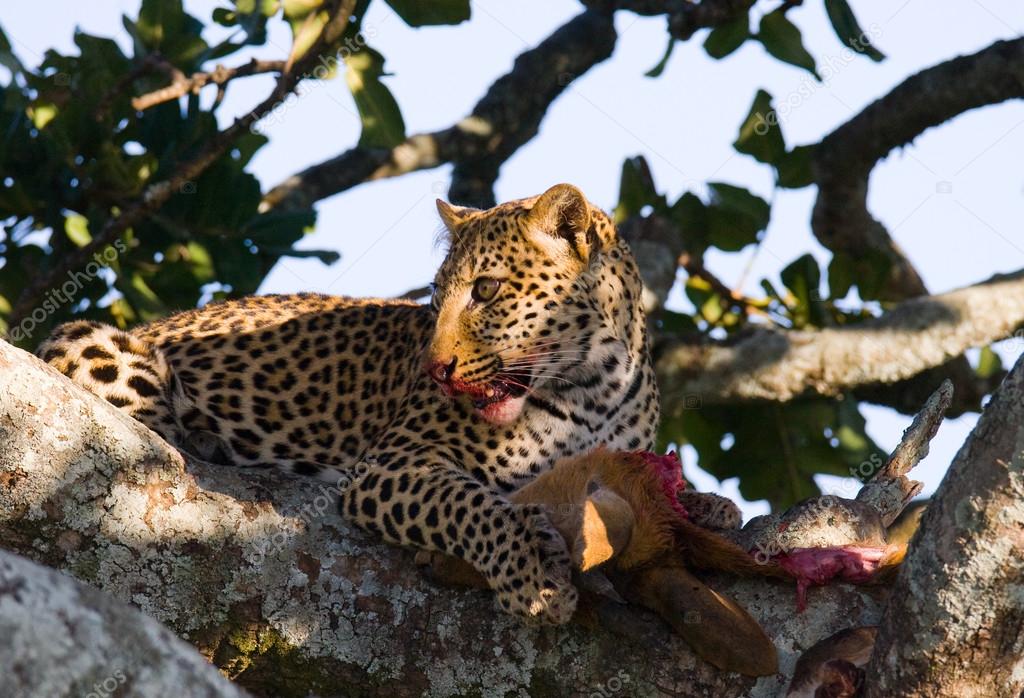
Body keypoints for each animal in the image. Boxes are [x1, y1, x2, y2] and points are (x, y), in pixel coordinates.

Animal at [36, 183, 660, 624]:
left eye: (486, 290)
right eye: (435, 298)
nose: (434, 369)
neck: (591, 385)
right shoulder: (393, 464)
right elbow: (472, 504)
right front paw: (534, 573)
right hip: (83, 339)